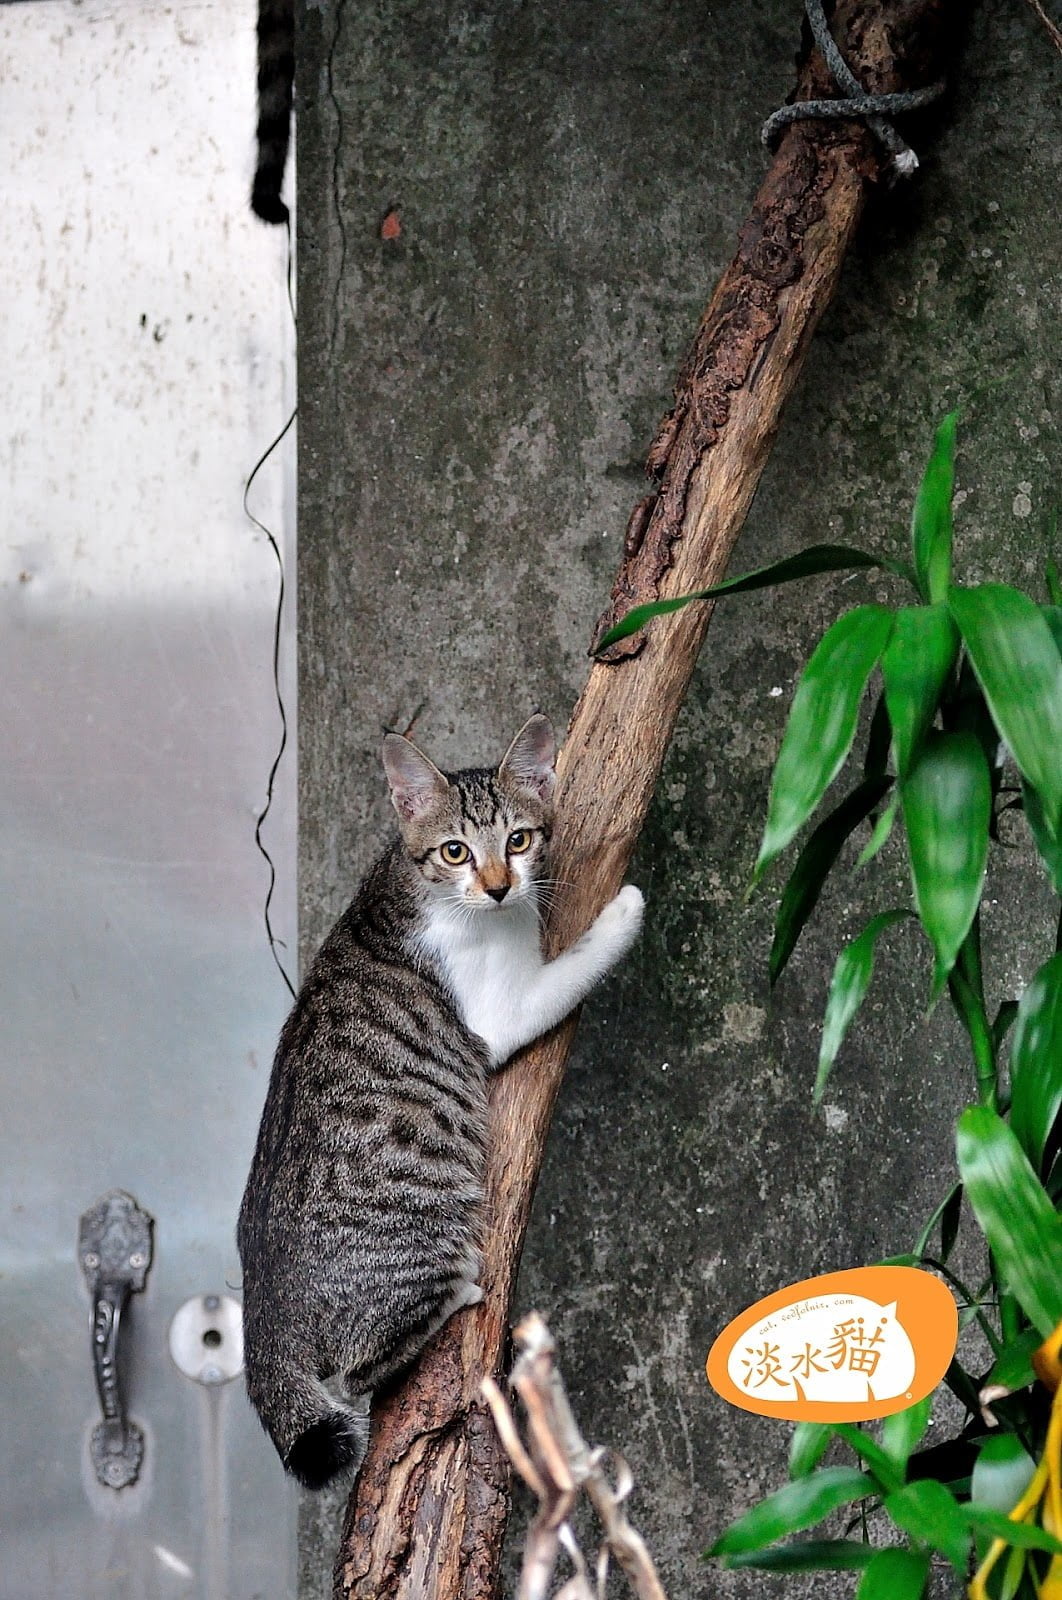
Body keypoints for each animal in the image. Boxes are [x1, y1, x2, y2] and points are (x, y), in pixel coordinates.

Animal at [236, 713, 642, 1484]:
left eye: (519, 840)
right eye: (456, 851)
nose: (498, 887)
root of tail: (263, 1305)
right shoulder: (503, 1011)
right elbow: (576, 964)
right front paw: (625, 912)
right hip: (425, 1245)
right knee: (358, 1370)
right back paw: (463, 1294)